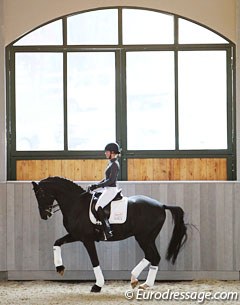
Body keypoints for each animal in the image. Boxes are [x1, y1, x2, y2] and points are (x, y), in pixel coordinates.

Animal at [31, 177, 188, 290]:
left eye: (40, 194)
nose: (44, 215)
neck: (76, 204)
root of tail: (161, 205)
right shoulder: (76, 235)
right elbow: (57, 243)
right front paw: (60, 268)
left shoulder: (87, 239)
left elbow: (94, 261)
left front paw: (97, 285)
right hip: (146, 238)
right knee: (152, 256)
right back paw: (137, 281)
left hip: (144, 238)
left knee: (153, 256)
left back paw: (143, 282)